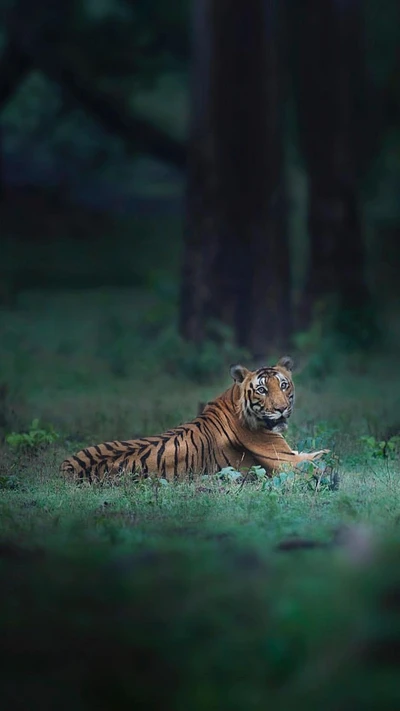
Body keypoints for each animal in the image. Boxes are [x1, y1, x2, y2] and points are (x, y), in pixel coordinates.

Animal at [59, 356, 328, 484]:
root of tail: (67, 470)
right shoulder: (287, 462)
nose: (282, 409)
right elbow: (321, 458)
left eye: (283, 385)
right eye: (262, 390)